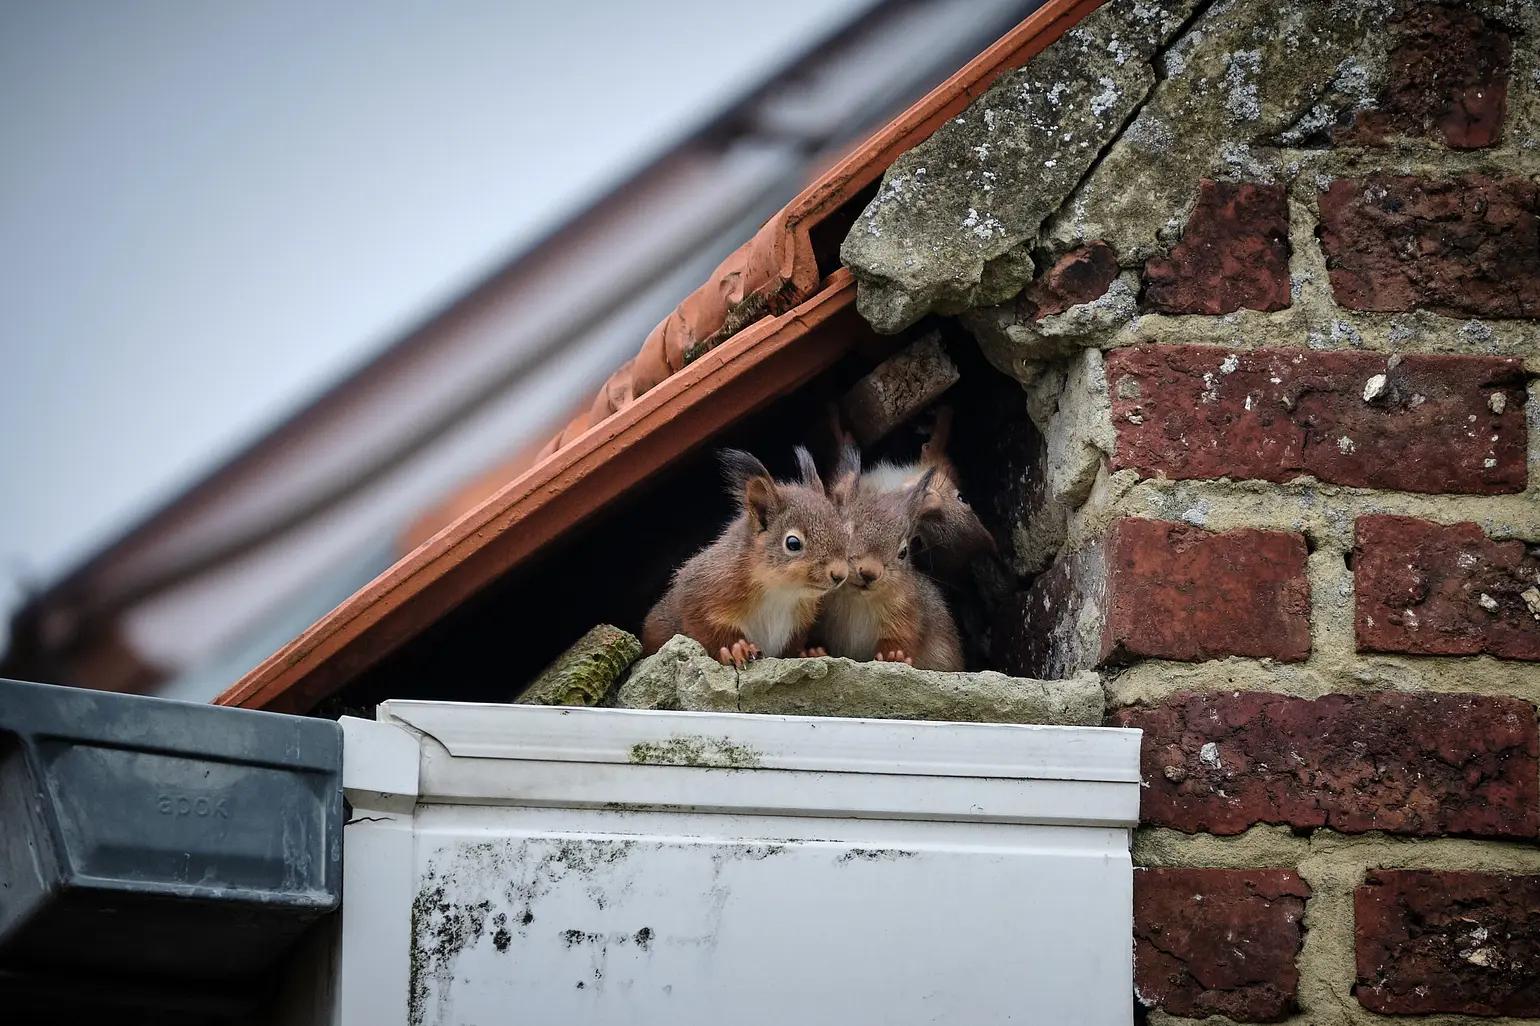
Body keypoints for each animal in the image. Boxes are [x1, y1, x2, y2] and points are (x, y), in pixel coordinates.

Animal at [642, 447, 851, 668]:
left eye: (845, 533)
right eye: (793, 543)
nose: (840, 574)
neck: (781, 592)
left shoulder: (799, 624)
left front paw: (810, 652)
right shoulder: (701, 593)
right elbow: (704, 628)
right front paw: (736, 649)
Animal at [810, 445, 964, 671]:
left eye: (904, 552)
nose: (869, 573)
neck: (857, 599)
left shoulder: (906, 610)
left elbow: (902, 636)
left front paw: (893, 656)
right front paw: (812, 651)